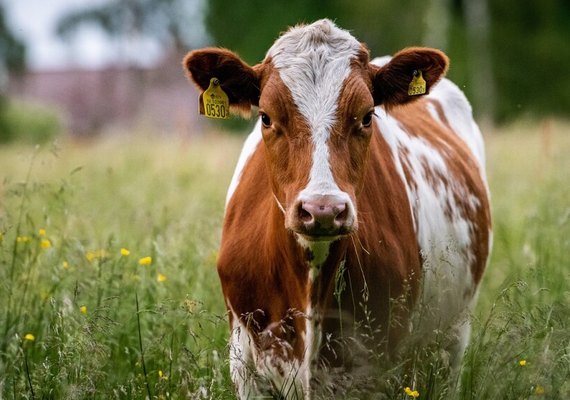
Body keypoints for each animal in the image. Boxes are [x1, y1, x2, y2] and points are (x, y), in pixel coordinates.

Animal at [184, 18, 490, 396]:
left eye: (367, 116)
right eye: (266, 117)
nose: (323, 209)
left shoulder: (376, 371)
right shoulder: (247, 369)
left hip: (451, 340)